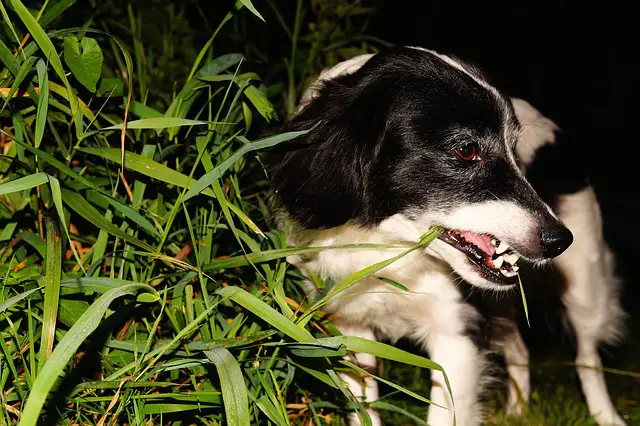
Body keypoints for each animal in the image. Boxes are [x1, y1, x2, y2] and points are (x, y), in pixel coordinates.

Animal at [266, 47, 624, 426]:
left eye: (514, 149)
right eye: (466, 150)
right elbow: (363, 409)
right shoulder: (350, 328)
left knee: (588, 357)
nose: (560, 240)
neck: (391, 252)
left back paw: (605, 416)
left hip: (585, 286)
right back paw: (518, 410)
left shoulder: (456, 335)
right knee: (519, 346)